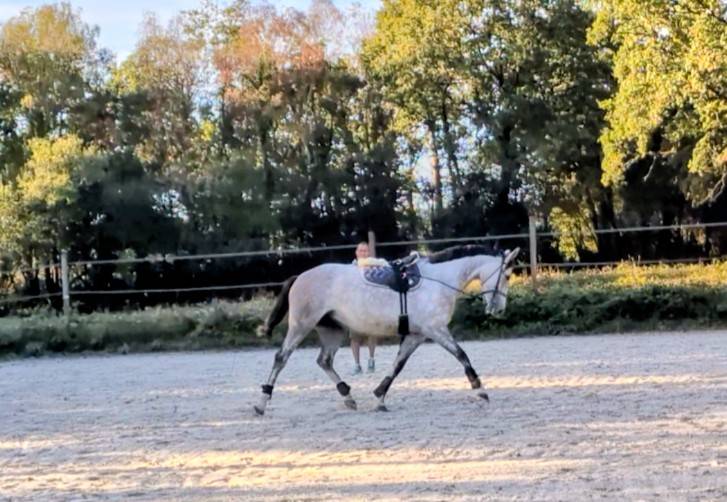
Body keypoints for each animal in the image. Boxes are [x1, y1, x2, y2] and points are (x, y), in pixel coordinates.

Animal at [254, 245, 520, 415]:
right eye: (507, 275)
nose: (498, 309)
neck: (439, 280)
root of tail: (300, 277)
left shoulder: (416, 335)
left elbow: (397, 366)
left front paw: (380, 396)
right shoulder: (435, 330)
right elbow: (462, 356)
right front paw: (481, 391)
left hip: (333, 330)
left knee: (324, 361)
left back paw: (348, 396)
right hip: (302, 325)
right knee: (281, 358)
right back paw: (261, 403)